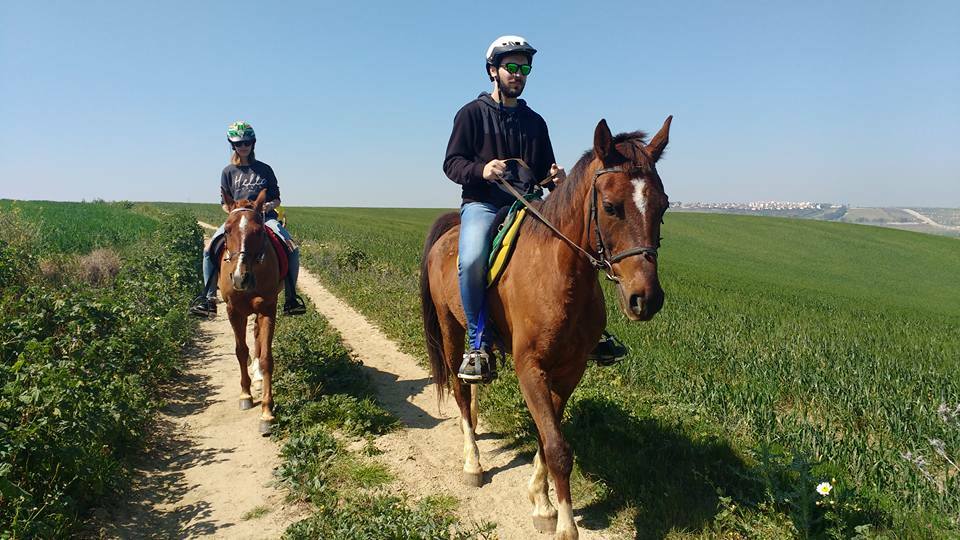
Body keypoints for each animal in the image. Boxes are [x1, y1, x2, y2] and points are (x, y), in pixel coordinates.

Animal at [218, 188, 282, 435]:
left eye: (258, 231)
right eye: (227, 229)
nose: (240, 278)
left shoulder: (267, 309)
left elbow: (266, 357)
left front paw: (266, 412)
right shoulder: (233, 311)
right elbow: (240, 351)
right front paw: (245, 394)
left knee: (256, 337)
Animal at [420, 117, 672, 539]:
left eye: (663, 206)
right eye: (610, 206)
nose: (646, 299)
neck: (560, 274)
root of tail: (450, 230)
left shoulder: (570, 370)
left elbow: (546, 436)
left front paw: (540, 500)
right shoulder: (530, 368)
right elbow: (557, 447)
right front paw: (565, 524)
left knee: (472, 387)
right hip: (450, 328)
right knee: (459, 388)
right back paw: (472, 460)